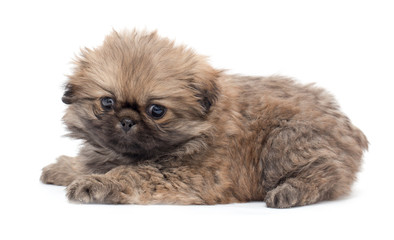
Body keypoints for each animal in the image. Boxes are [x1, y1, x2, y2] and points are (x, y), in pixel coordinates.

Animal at [40, 30, 370, 207]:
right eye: (107, 102)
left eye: (156, 111)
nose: (127, 120)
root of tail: (353, 131)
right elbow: (91, 161)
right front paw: (67, 167)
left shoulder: (188, 175)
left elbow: (131, 173)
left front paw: (96, 183)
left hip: (286, 140)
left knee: (325, 171)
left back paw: (291, 190)